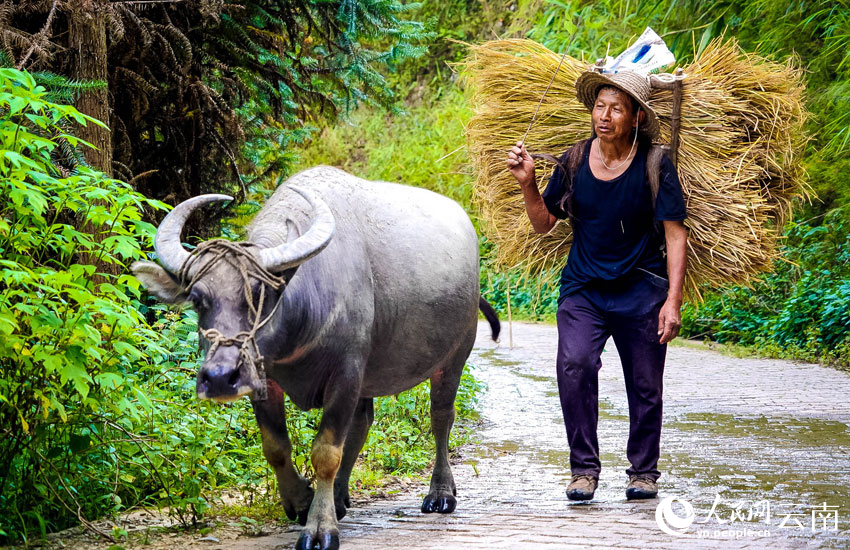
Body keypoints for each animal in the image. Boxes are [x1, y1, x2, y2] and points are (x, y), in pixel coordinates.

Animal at [131, 167, 496, 550]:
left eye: (260, 293)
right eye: (198, 299)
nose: (218, 378)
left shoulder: (346, 372)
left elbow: (326, 452)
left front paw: (320, 527)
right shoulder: (265, 377)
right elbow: (275, 446)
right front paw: (301, 503)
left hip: (456, 354)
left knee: (441, 417)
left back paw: (440, 493)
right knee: (363, 423)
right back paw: (339, 497)